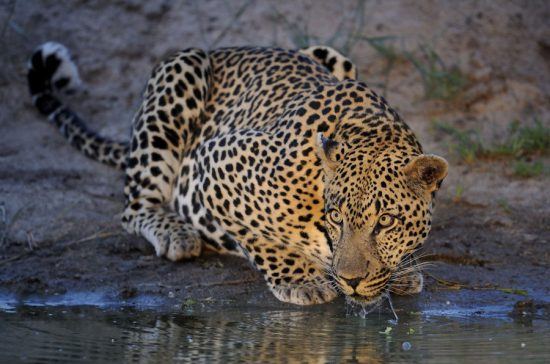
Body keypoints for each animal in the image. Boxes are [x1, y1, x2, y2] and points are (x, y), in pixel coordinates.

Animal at [27, 41, 448, 306]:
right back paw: (178, 235)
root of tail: (226, 49)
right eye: (336, 217)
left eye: (387, 221)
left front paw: (401, 272)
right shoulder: (214, 161)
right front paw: (300, 280)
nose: (352, 281)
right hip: (183, 71)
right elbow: (257, 237)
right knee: (134, 207)